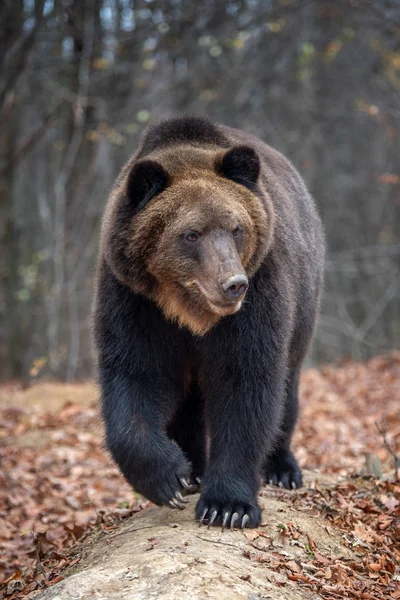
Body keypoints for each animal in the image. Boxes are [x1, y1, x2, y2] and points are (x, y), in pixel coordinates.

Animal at [92, 115, 324, 528]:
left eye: (236, 228)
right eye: (191, 234)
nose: (233, 284)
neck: (191, 311)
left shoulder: (258, 297)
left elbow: (246, 383)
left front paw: (227, 505)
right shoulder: (135, 301)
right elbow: (135, 375)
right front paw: (171, 477)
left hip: (304, 301)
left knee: (288, 386)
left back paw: (282, 468)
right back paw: (194, 469)